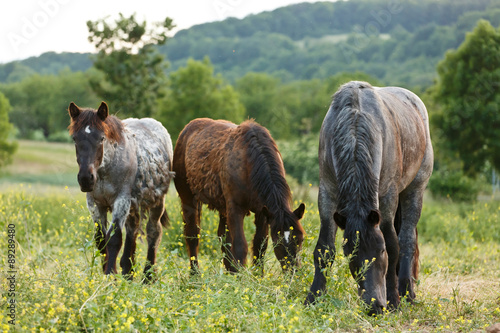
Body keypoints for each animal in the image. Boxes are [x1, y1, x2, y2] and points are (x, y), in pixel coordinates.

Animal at [68, 101, 174, 280]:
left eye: (101, 138)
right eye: (75, 138)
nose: (86, 178)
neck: (105, 170)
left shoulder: (121, 200)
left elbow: (114, 238)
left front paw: (110, 275)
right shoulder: (95, 204)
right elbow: (100, 239)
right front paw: (107, 272)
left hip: (157, 202)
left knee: (153, 232)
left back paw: (148, 276)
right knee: (133, 230)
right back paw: (128, 272)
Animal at [174, 118, 306, 272]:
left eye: (300, 239)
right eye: (278, 242)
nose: (293, 271)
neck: (249, 163)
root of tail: (187, 129)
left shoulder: (262, 212)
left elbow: (260, 245)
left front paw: (256, 275)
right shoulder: (235, 209)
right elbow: (239, 246)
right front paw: (241, 276)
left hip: (223, 207)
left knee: (224, 237)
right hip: (188, 199)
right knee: (193, 235)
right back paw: (195, 274)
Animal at [302, 81, 436, 314]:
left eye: (380, 251)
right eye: (350, 253)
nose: (374, 306)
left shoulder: (387, 199)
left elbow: (394, 245)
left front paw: (393, 301)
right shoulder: (327, 193)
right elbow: (324, 248)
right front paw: (314, 296)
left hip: (415, 190)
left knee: (407, 240)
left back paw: (407, 293)